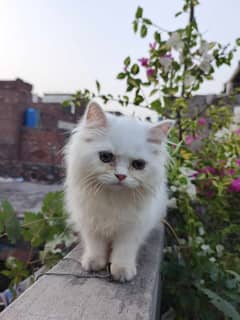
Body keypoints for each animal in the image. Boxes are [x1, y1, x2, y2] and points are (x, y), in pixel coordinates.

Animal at [63, 101, 173, 282]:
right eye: (106, 157)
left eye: (138, 165)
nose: (121, 176)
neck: (112, 199)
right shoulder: (91, 224)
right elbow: (95, 246)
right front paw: (93, 262)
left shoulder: (131, 230)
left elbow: (123, 251)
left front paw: (122, 271)